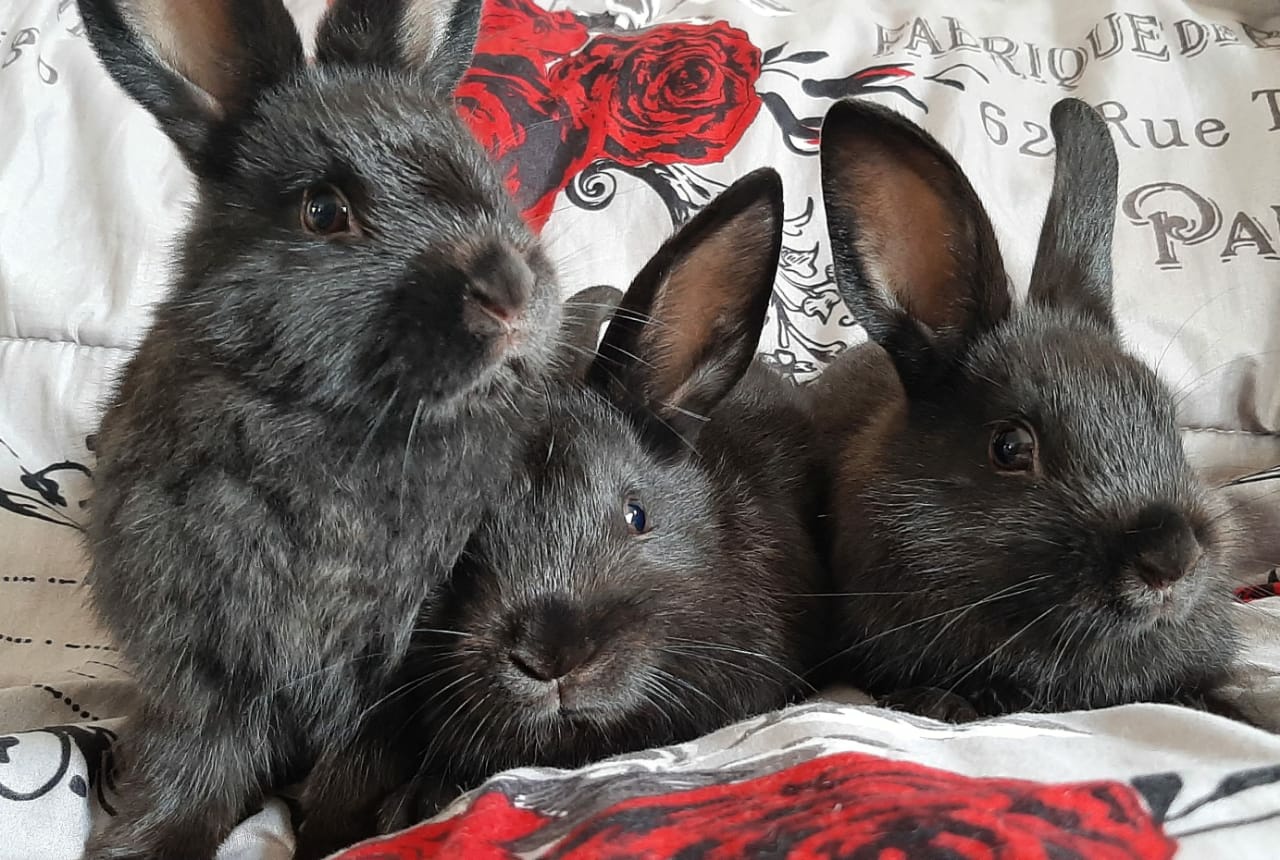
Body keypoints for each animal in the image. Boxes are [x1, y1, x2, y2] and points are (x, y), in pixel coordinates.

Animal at [77, 0, 562, 857]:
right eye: (323, 210)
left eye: (487, 173)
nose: (510, 289)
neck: (340, 424)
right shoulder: (201, 670)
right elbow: (186, 769)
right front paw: (143, 843)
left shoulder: (387, 680)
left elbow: (349, 778)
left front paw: (337, 841)